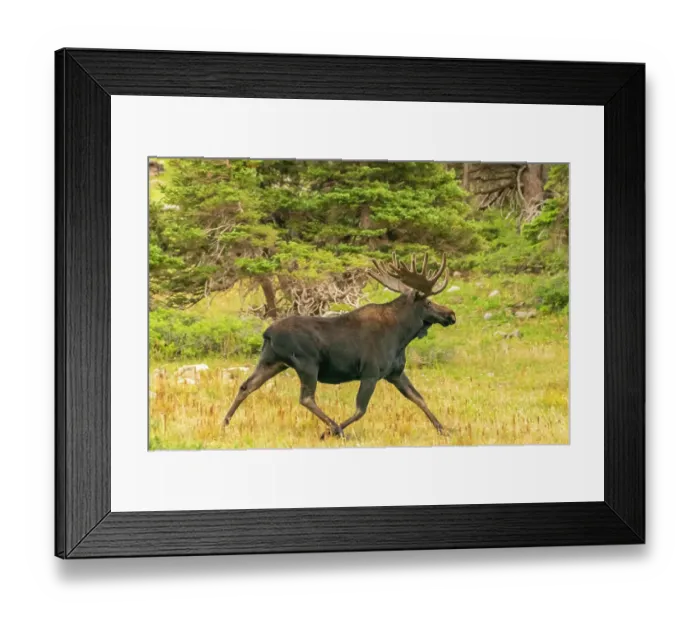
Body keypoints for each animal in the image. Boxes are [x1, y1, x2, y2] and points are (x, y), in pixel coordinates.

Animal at [221, 252, 457, 440]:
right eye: (428, 302)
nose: (451, 315)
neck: (402, 336)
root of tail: (268, 333)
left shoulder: (395, 373)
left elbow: (419, 398)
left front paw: (444, 429)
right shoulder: (371, 372)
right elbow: (360, 409)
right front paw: (331, 432)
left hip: (272, 361)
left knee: (246, 386)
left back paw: (224, 423)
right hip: (307, 364)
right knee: (306, 398)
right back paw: (336, 429)